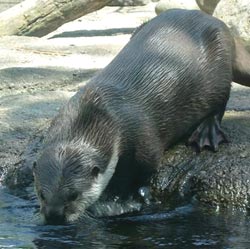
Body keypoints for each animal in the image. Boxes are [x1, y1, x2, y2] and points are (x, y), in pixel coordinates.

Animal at [32, 9, 250, 224]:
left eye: (73, 195)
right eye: (42, 194)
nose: (54, 216)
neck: (98, 111)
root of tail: (219, 24)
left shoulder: (145, 139)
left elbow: (143, 170)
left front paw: (120, 200)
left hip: (220, 70)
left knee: (221, 101)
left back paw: (207, 131)